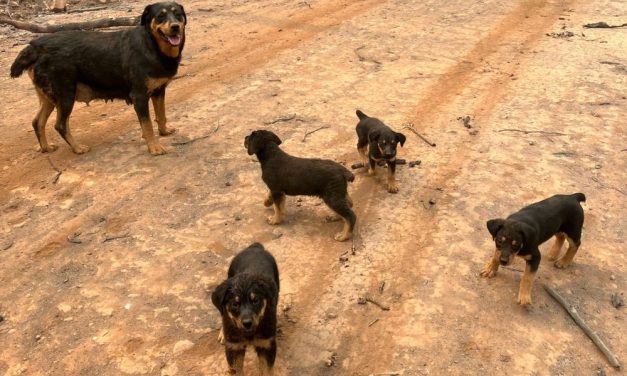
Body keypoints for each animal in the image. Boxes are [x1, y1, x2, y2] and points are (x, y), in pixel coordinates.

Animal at [9, 2, 186, 155]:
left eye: (177, 14)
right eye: (160, 16)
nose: (175, 27)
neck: (152, 45)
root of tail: (36, 46)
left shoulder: (159, 91)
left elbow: (161, 115)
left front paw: (164, 132)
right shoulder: (139, 96)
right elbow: (147, 125)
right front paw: (154, 147)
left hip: (49, 97)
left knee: (37, 122)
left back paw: (46, 147)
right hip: (65, 95)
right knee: (60, 125)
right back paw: (77, 148)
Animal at [212, 242, 278, 376]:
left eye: (255, 300)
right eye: (235, 304)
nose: (247, 323)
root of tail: (255, 247)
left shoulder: (266, 344)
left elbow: (266, 371)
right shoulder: (234, 347)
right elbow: (237, 370)